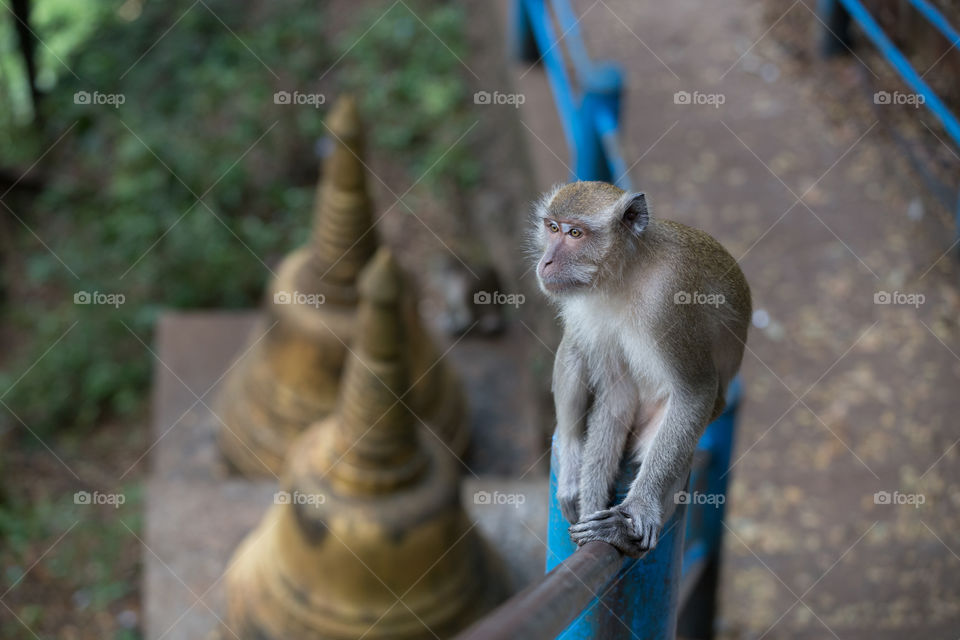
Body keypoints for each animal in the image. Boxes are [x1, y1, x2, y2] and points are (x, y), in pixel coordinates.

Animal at [532, 179, 752, 556]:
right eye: (552, 228)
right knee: (576, 345)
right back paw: (571, 454)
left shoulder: (670, 299)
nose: (546, 261)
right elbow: (616, 395)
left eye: (575, 233)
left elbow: (695, 391)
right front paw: (589, 504)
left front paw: (637, 510)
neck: (626, 274)